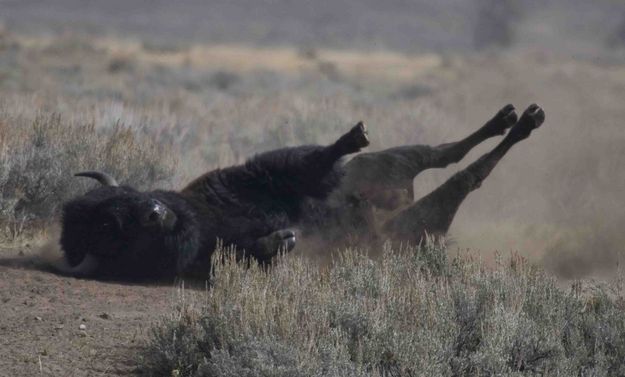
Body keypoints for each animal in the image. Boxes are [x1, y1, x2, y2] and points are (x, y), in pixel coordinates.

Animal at [59, 101, 544, 278]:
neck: (204, 215)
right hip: (417, 221)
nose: (155, 212)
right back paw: (522, 122)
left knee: (442, 153)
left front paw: (354, 135)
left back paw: (512, 116)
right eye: (109, 227)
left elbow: (300, 166)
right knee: (466, 175)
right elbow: (257, 247)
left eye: (125, 197)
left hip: (387, 166)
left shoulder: (251, 178)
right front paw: (283, 240)